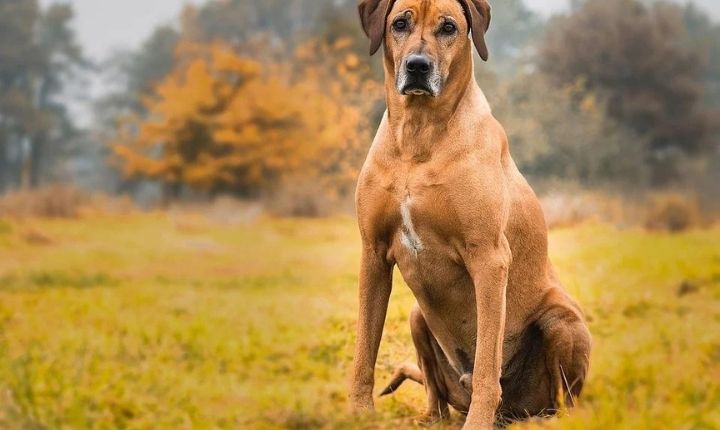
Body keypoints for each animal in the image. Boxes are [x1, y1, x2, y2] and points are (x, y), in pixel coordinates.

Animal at [348, 0, 592, 426]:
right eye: (399, 23)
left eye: (448, 28)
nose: (417, 65)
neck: (419, 134)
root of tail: (515, 412)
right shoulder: (373, 253)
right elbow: (365, 348)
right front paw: (359, 414)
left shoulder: (489, 258)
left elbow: (486, 364)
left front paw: (478, 422)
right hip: (417, 316)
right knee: (435, 391)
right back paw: (432, 417)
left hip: (563, 321)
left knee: (561, 398)